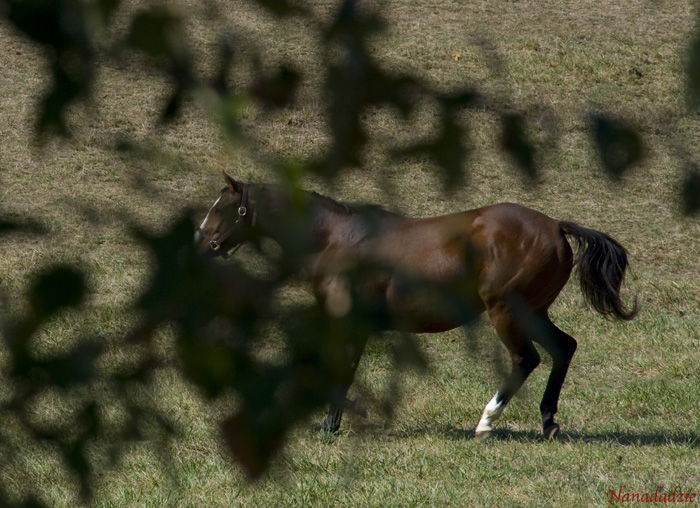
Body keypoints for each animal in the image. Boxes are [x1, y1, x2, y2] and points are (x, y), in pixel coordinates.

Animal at [195, 173, 637, 440]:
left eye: (222, 208)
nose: (199, 243)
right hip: (534, 312)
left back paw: (485, 422)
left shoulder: (348, 323)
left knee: (526, 359)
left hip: (506, 311)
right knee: (564, 348)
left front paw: (328, 425)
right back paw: (548, 422)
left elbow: (340, 374)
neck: (334, 239)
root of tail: (556, 227)